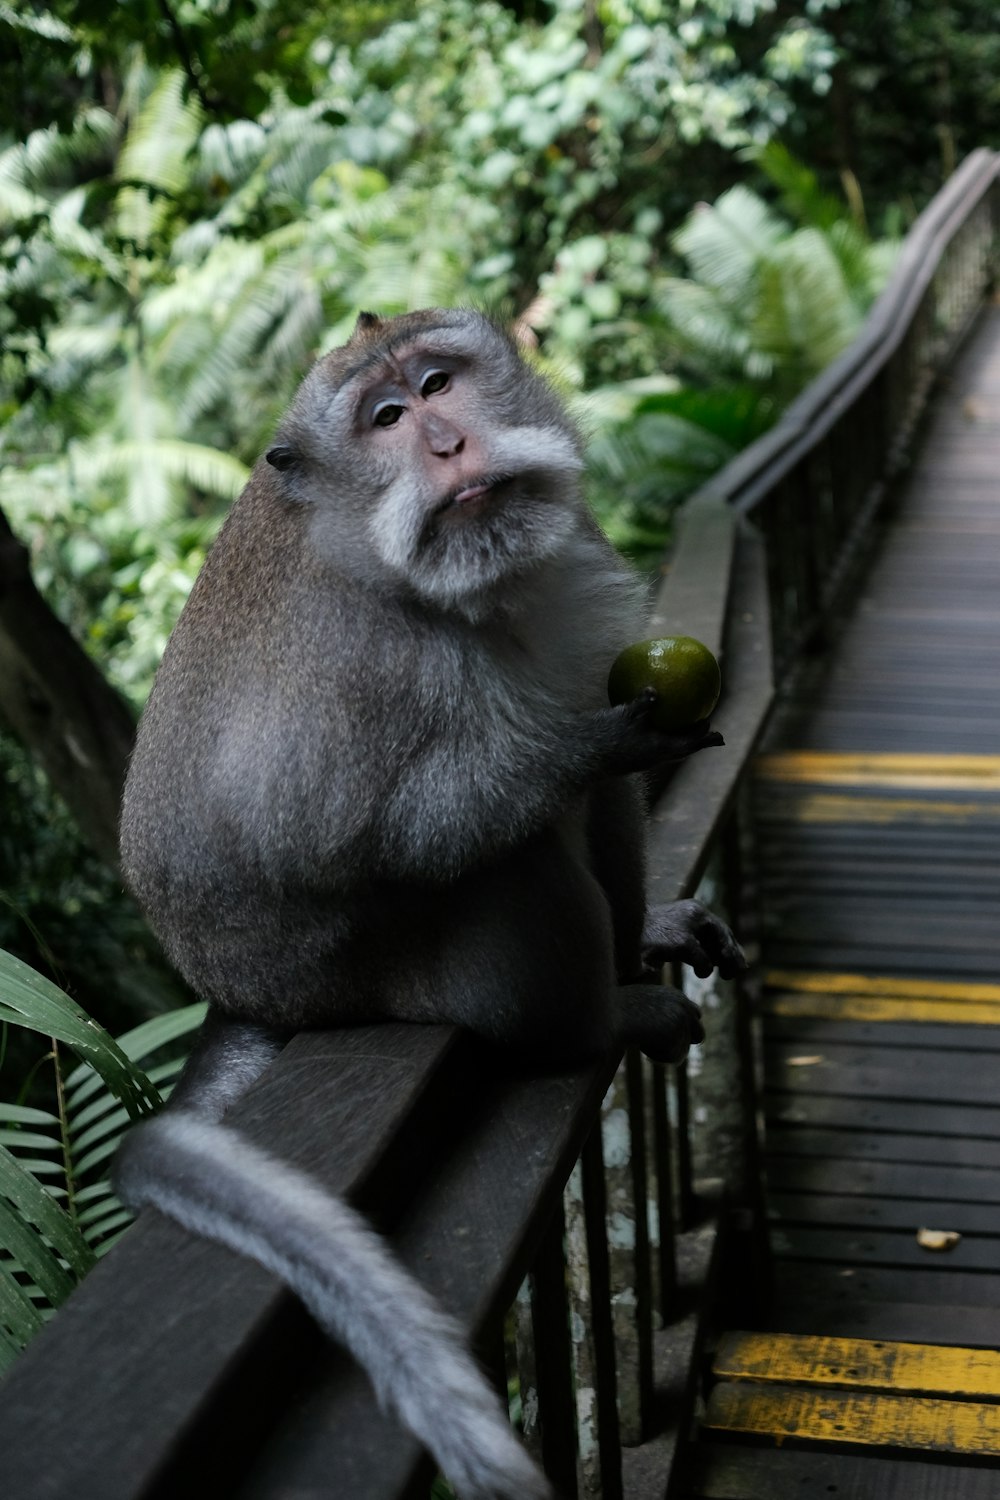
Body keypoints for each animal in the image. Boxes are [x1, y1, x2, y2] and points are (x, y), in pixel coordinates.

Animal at [115, 304, 743, 1500]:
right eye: (386, 418)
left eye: (441, 383)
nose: (449, 445)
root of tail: (237, 993)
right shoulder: (357, 667)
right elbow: (328, 836)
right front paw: (586, 745)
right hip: (369, 977)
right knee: (503, 858)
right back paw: (591, 1024)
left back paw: (630, 944)